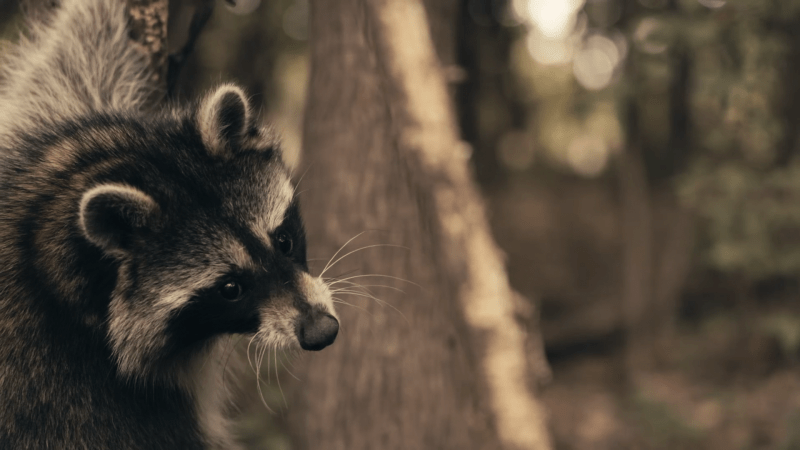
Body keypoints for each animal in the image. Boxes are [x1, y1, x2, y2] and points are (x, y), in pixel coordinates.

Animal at [0, 0, 340, 450]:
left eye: (283, 241)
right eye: (230, 288)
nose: (322, 332)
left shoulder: (55, 168)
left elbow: (64, 71)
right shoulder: (90, 408)